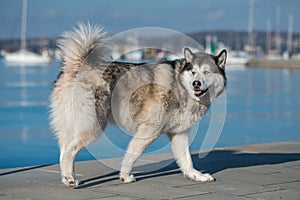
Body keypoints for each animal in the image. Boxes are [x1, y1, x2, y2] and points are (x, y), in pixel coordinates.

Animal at [49, 22, 227, 187]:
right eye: (193, 72)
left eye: (206, 72)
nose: (196, 84)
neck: (180, 86)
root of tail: (79, 64)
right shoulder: (148, 131)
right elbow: (131, 155)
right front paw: (125, 176)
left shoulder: (179, 134)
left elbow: (187, 161)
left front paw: (197, 176)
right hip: (92, 126)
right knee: (69, 152)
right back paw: (70, 179)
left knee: (64, 151)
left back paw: (67, 178)